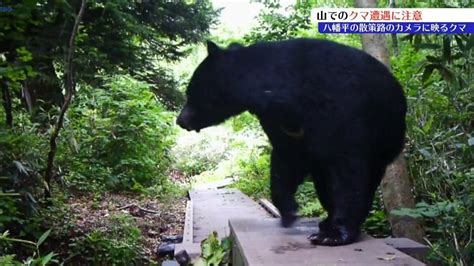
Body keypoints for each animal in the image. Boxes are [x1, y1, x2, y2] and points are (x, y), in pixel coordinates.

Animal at [176, 38, 406, 246]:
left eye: (190, 92)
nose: (180, 120)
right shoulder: (279, 122)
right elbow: (286, 158)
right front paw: (288, 211)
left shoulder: (340, 107)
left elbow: (348, 167)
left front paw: (336, 234)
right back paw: (326, 221)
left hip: (386, 138)